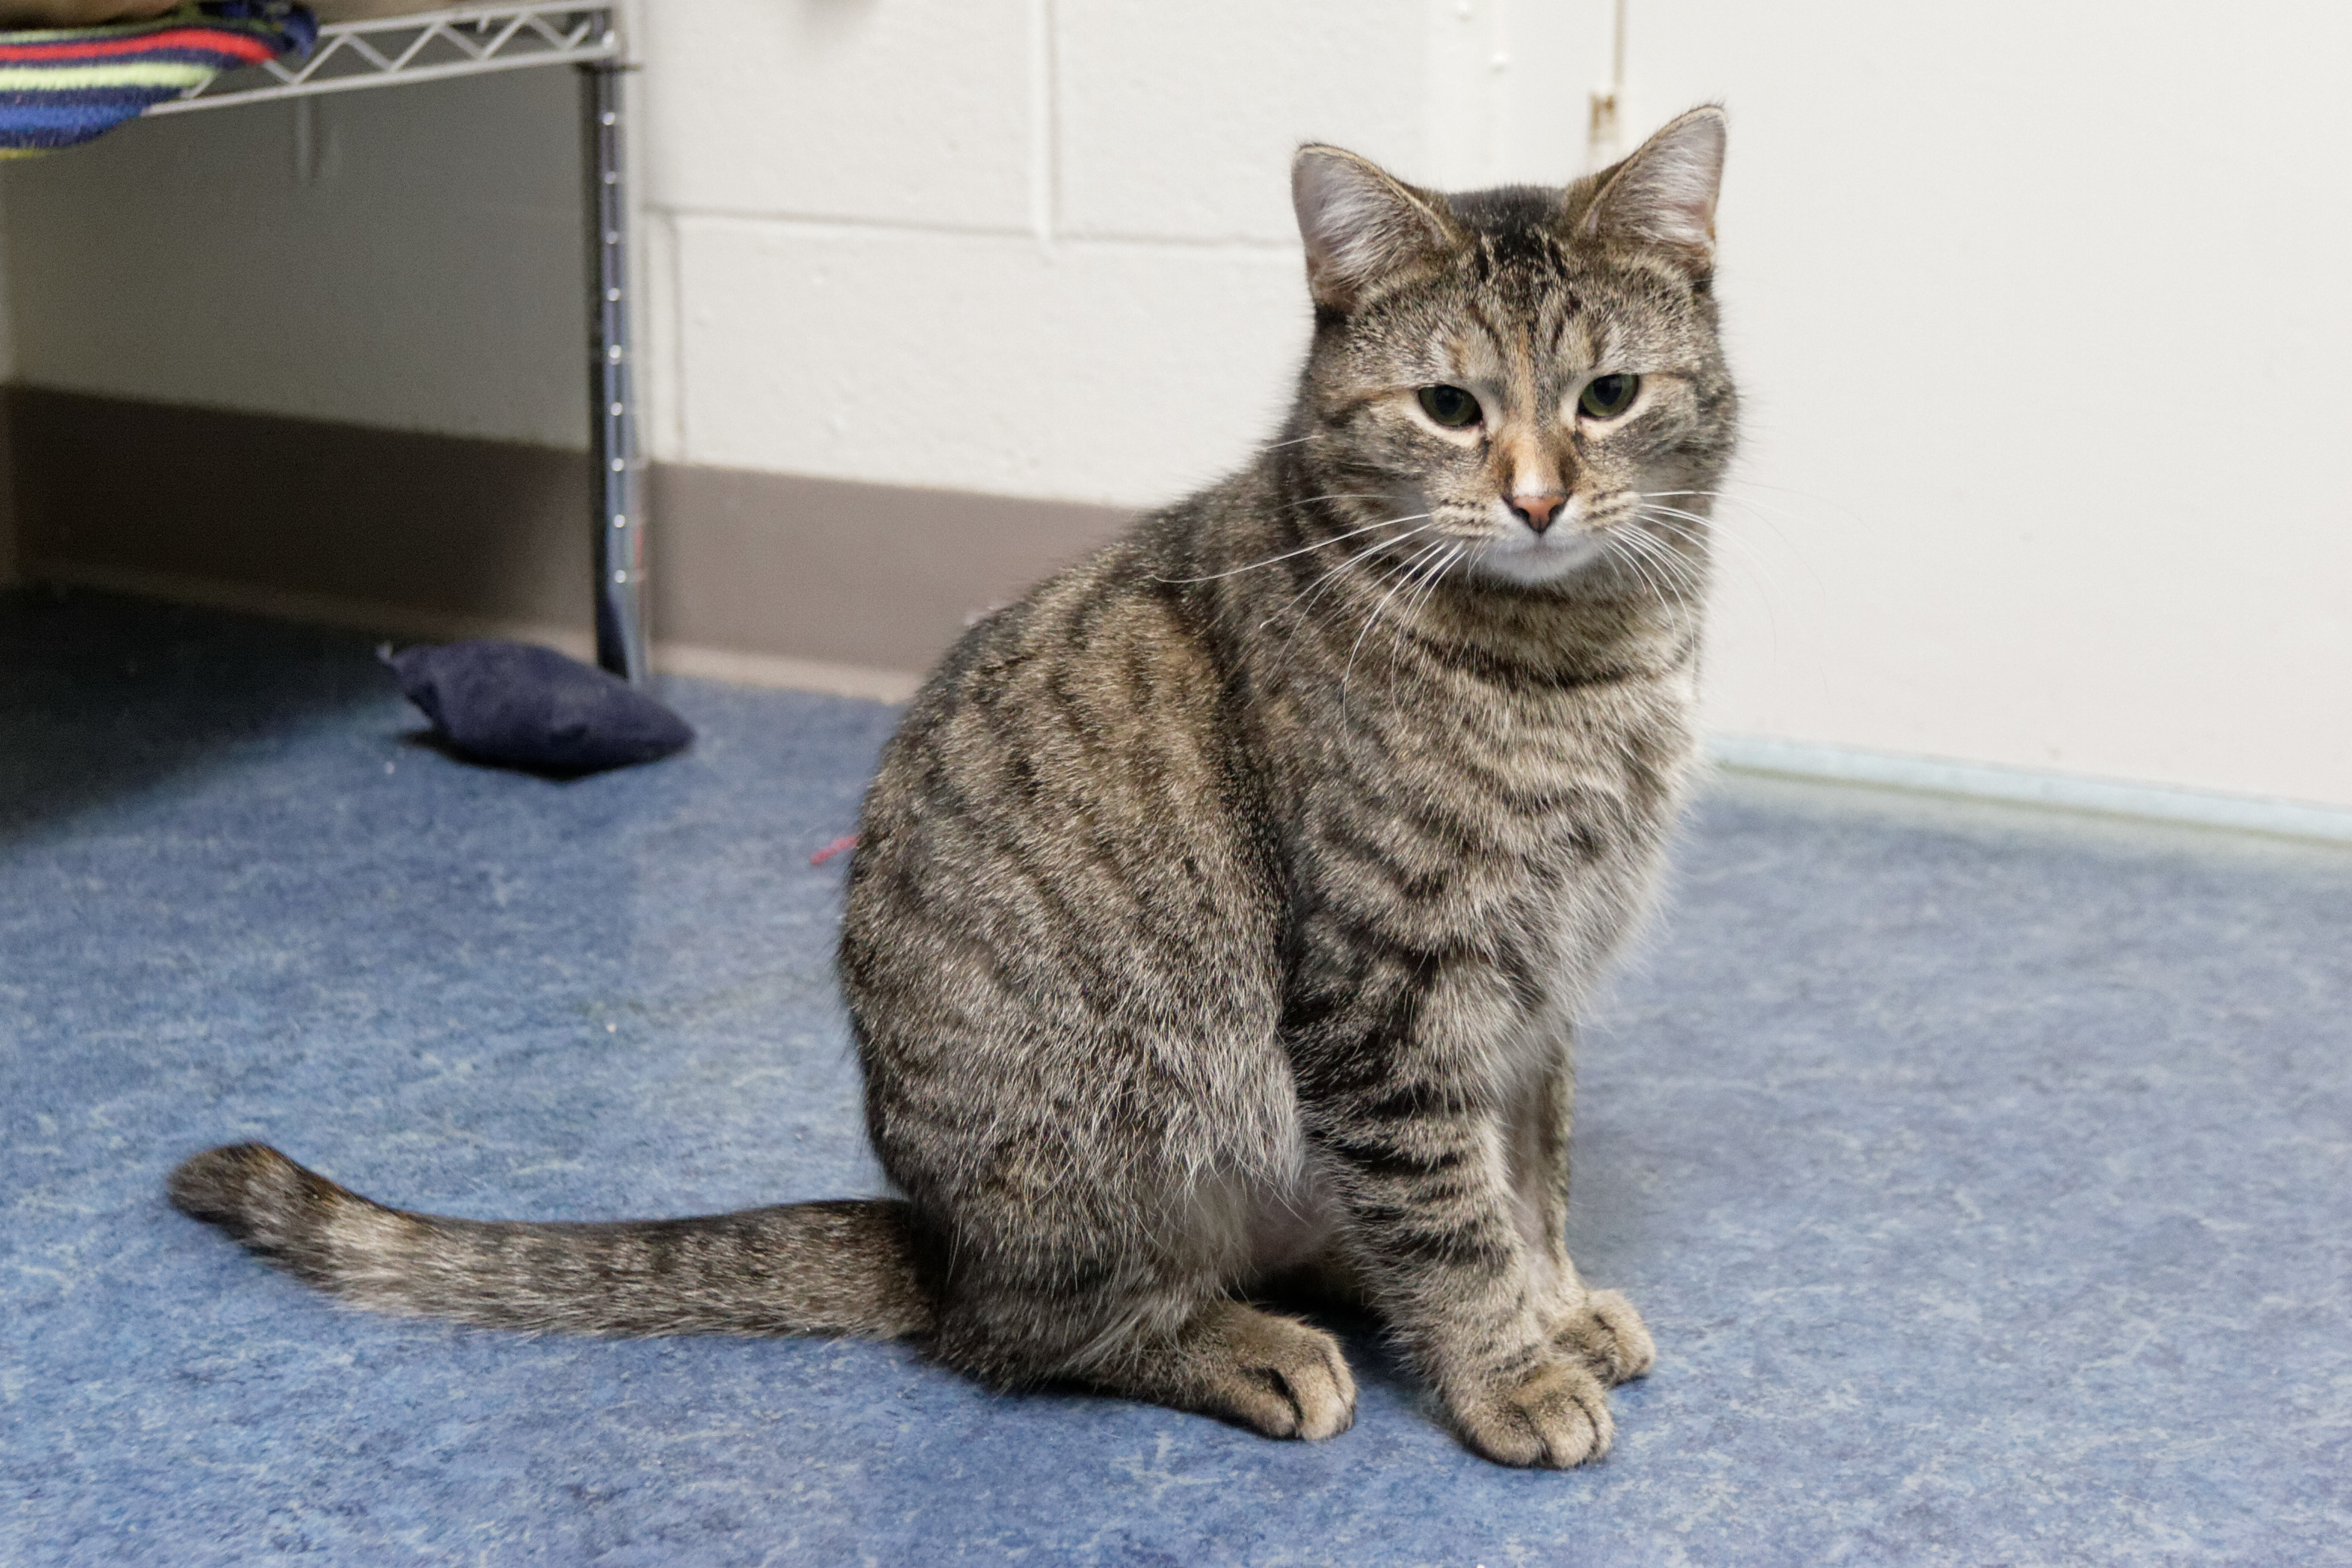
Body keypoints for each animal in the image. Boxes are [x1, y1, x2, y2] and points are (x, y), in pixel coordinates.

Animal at [170, 113, 1731, 1476]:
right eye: (1450, 407)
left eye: (1605, 397)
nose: (1537, 496)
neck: (1582, 656)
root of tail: (934, 1236)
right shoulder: (1391, 989)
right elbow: (1452, 1216)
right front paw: (1508, 1368)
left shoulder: (1539, 991)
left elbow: (1526, 1174)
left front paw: (1552, 1302)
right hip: (1128, 1131)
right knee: (1032, 1333)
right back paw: (1244, 1341)